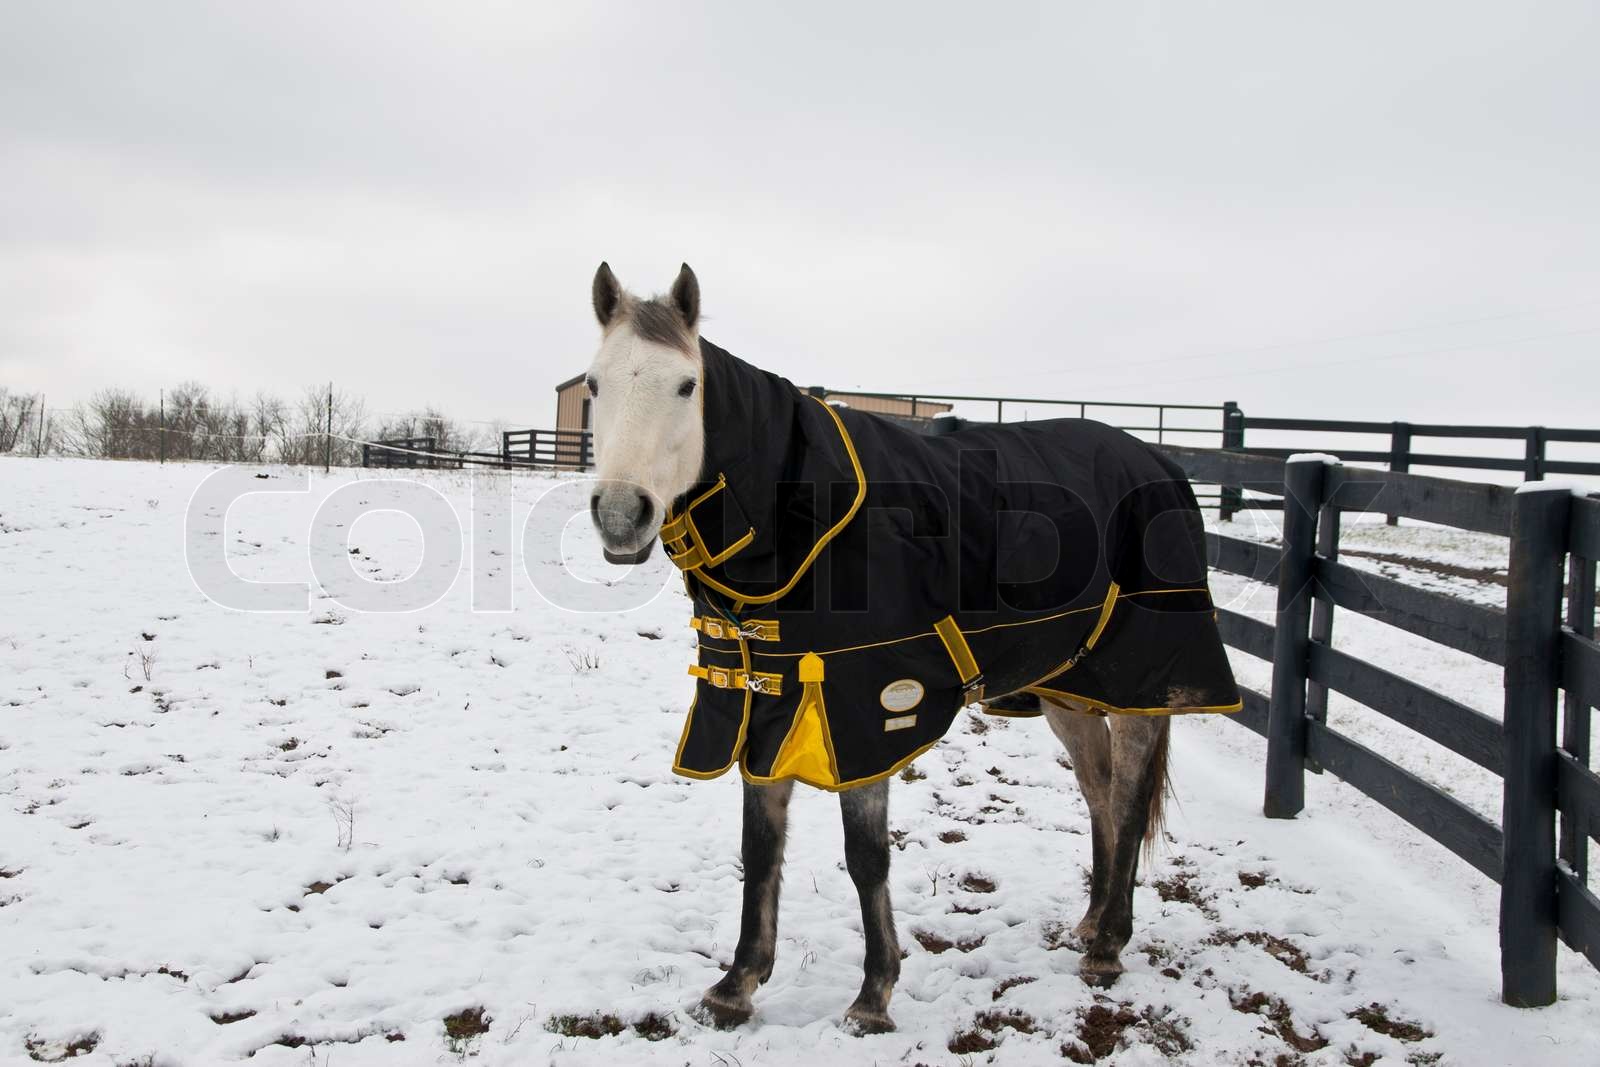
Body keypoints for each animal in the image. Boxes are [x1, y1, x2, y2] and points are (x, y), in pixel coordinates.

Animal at [583, 262, 1241, 1033]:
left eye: (687, 386)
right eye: (593, 384)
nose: (621, 516)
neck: (802, 520)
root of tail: (1159, 460)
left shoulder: (865, 710)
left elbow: (865, 856)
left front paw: (873, 995)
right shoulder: (763, 697)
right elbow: (759, 846)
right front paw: (737, 984)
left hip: (1143, 684)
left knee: (1131, 800)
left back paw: (1109, 945)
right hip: (1068, 687)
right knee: (1100, 794)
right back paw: (1090, 922)